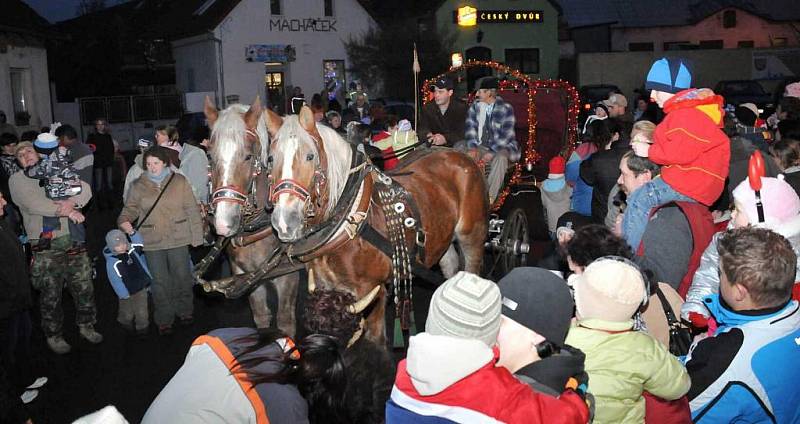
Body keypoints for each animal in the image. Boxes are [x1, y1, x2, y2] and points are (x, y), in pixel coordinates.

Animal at [266, 105, 488, 342]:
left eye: (310, 156)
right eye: (270, 158)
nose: (284, 221)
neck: (350, 221)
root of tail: (459, 155)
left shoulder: (372, 291)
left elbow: (374, 339)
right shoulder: (326, 285)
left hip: (472, 235)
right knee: (449, 265)